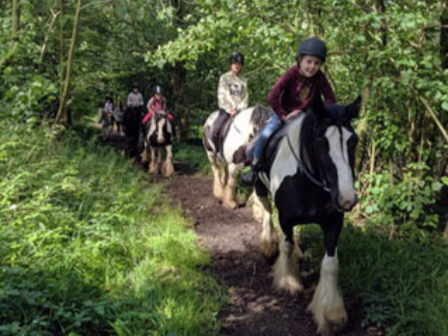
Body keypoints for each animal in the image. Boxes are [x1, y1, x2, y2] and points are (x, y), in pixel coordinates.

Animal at [254, 96, 362, 334]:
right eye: (322, 142)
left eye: (354, 141)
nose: (347, 198)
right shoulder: (285, 218)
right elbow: (286, 246)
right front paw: (288, 282)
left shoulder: (333, 222)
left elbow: (330, 264)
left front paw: (331, 315)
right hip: (259, 185)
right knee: (266, 210)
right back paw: (268, 245)